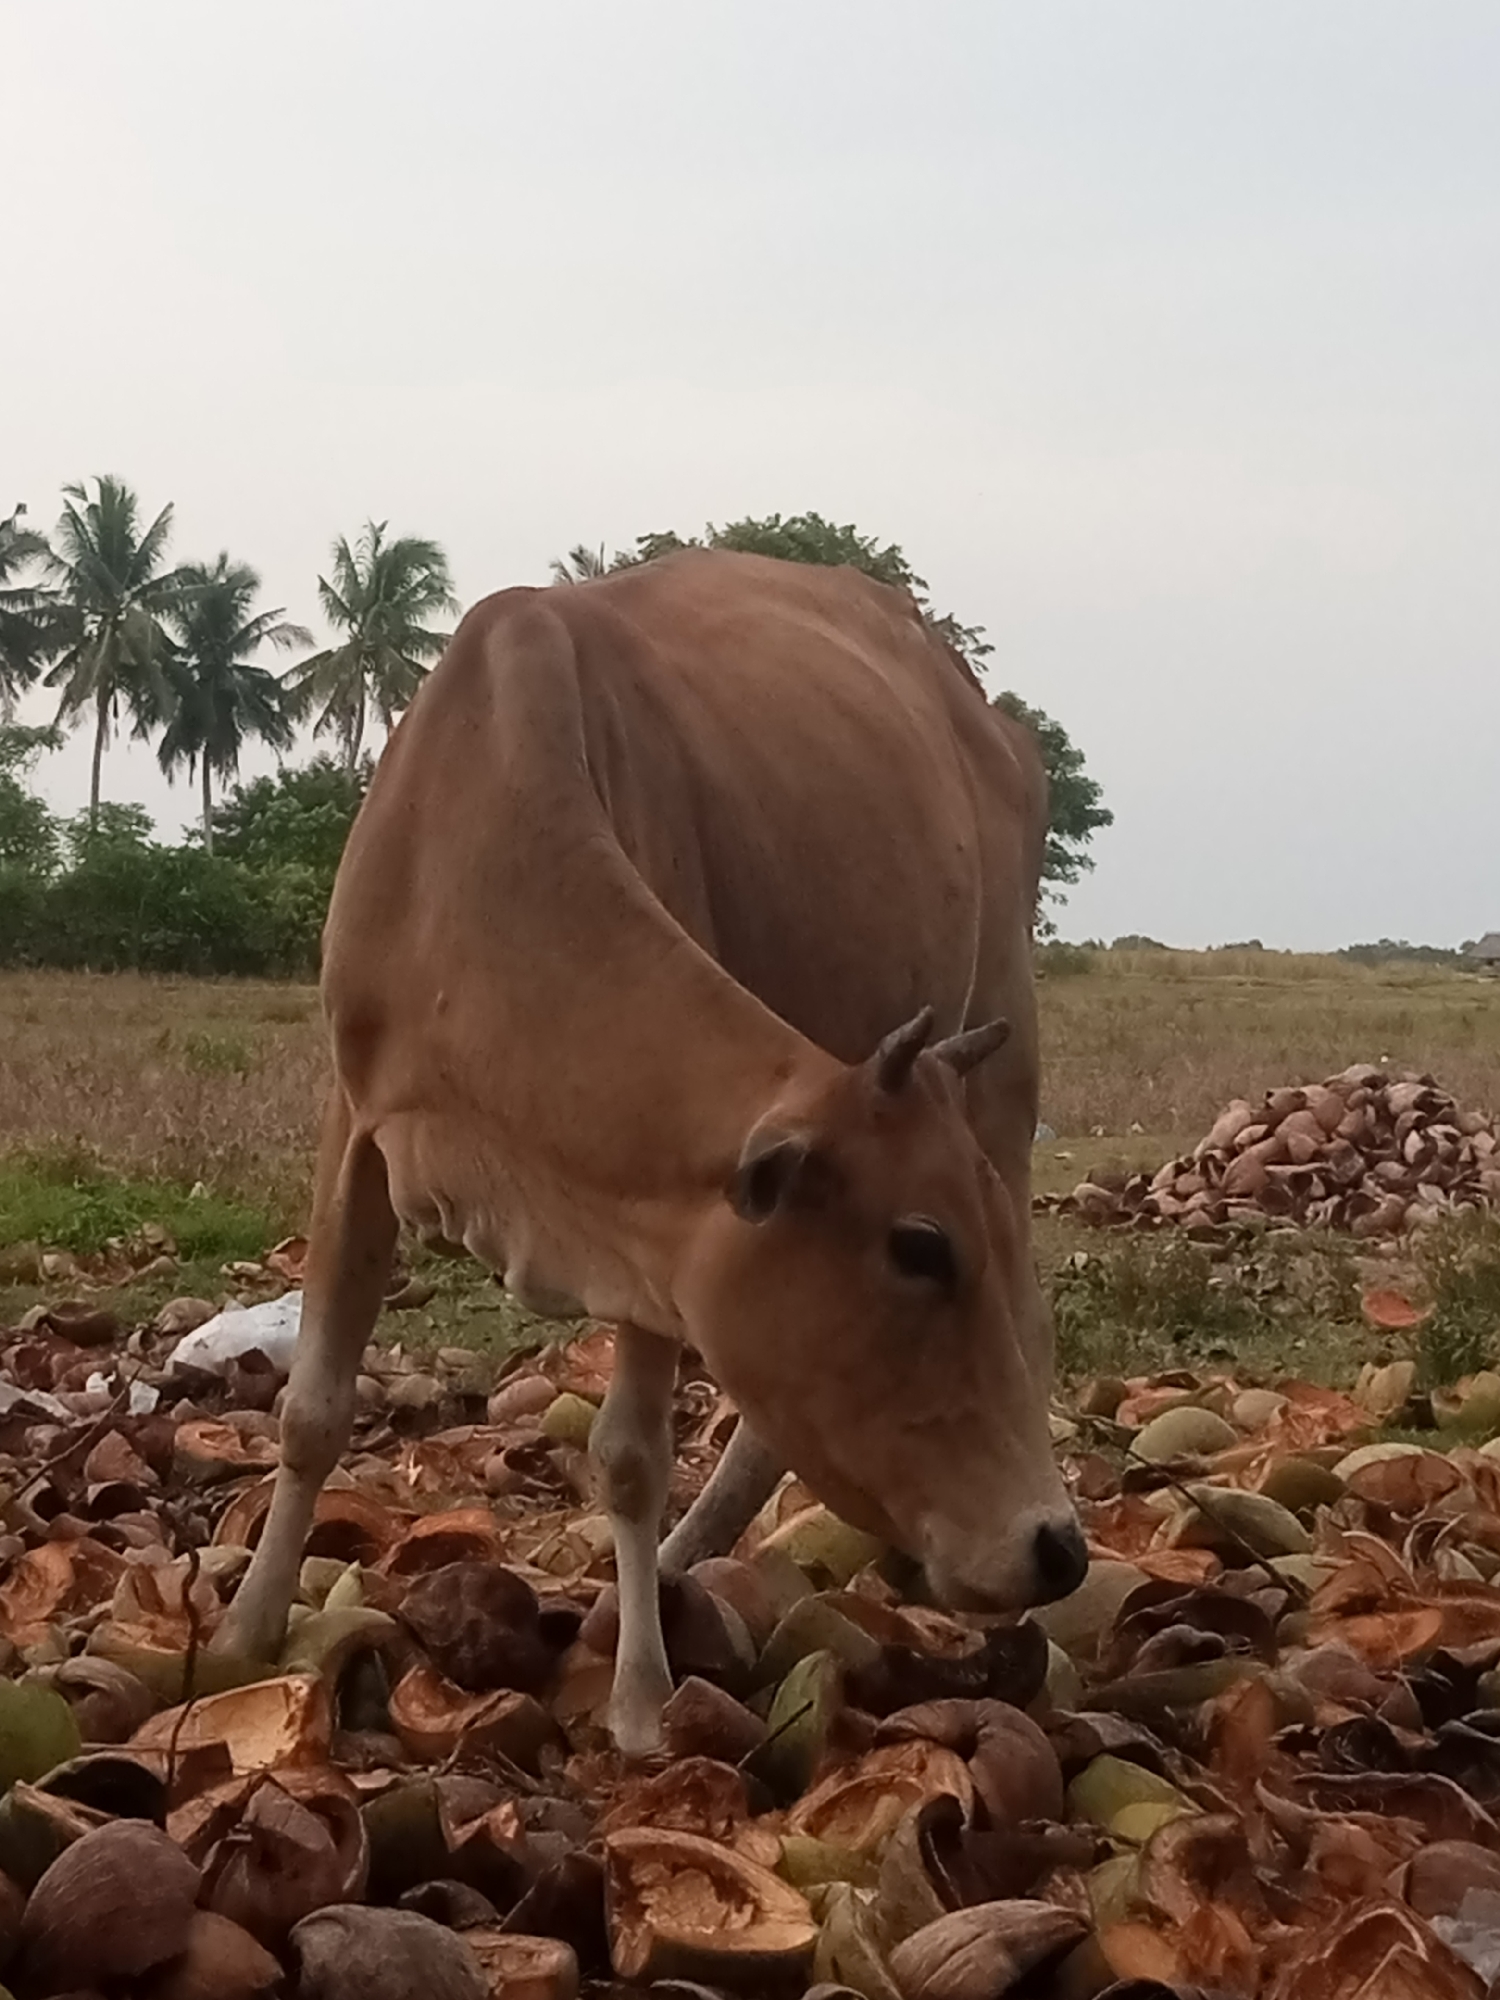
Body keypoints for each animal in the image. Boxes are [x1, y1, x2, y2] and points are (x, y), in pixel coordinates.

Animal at [214, 547, 1085, 1754]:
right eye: (918, 1246)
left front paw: (634, 1694)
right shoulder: (360, 1123)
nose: (1057, 1547)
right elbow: (309, 1410)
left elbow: (629, 1456)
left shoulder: (659, 1228)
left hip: (1007, 1053)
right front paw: (245, 1631)